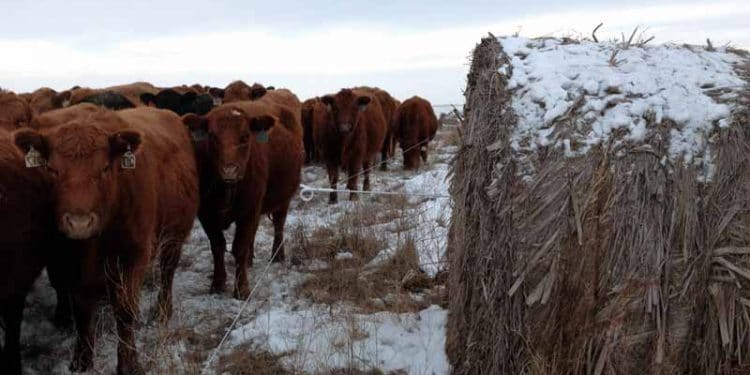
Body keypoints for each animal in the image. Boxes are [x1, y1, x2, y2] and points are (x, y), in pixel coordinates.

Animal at [13, 104, 200, 374]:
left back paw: (163, 311)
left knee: (167, 273)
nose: (79, 222)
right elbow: (81, 309)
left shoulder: (134, 256)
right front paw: (81, 359)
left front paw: (129, 362)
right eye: (52, 170)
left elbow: (125, 310)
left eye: (104, 169)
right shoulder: (66, 261)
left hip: (174, 237)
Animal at [184, 99, 304, 300]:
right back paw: (249, 259)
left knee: (278, 225)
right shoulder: (206, 215)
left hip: (283, 198)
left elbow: (239, 246)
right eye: (213, 137)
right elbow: (218, 246)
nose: (230, 170)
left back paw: (277, 255)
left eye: (245, 137)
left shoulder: (249, 209)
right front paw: (217, 283)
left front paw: (241, 289)